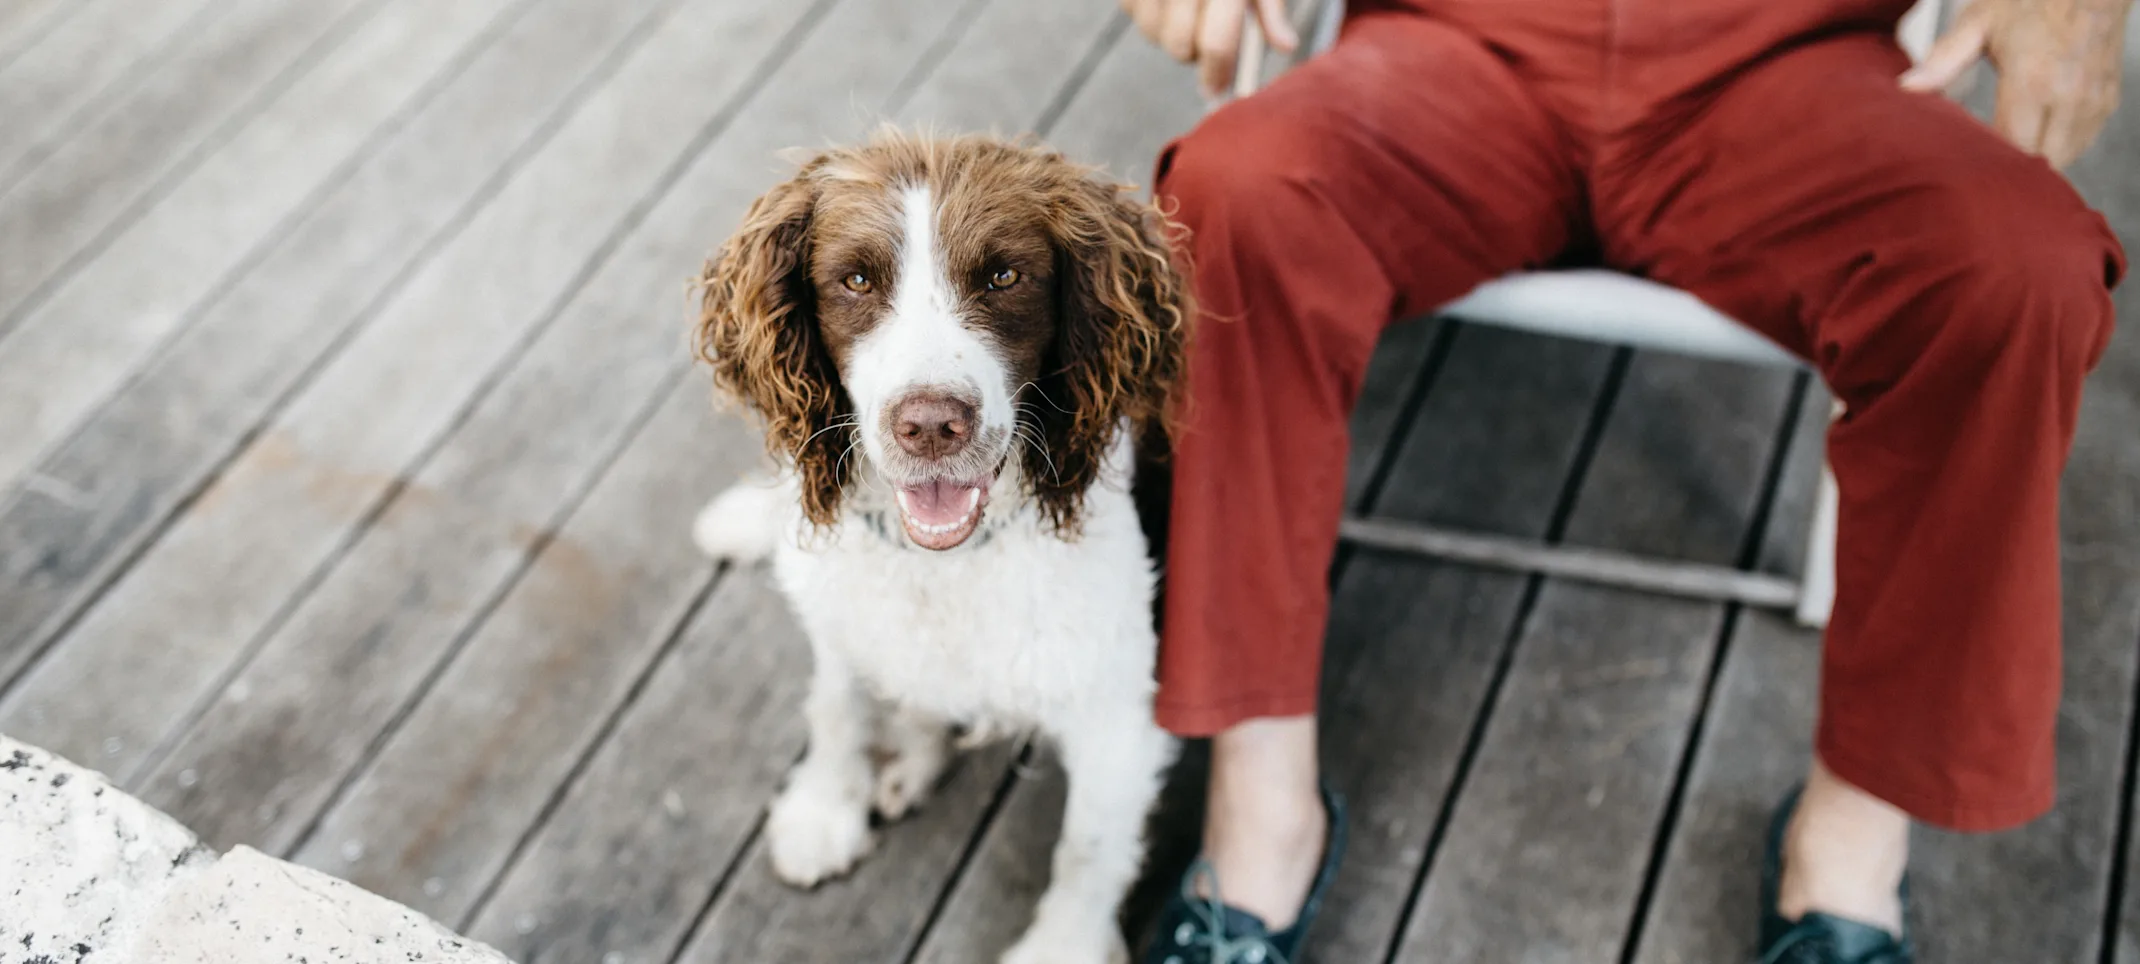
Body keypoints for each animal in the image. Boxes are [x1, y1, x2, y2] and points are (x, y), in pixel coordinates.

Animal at [697, 130, 1206, 964]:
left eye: (1004, 275)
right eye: (856, 279)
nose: (932, 426)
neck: (945, 562)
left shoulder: (1115, 715)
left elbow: (1089, 848)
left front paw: (1063, 945)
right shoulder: (842, 615)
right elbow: (835, 706)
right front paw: (824, 811)